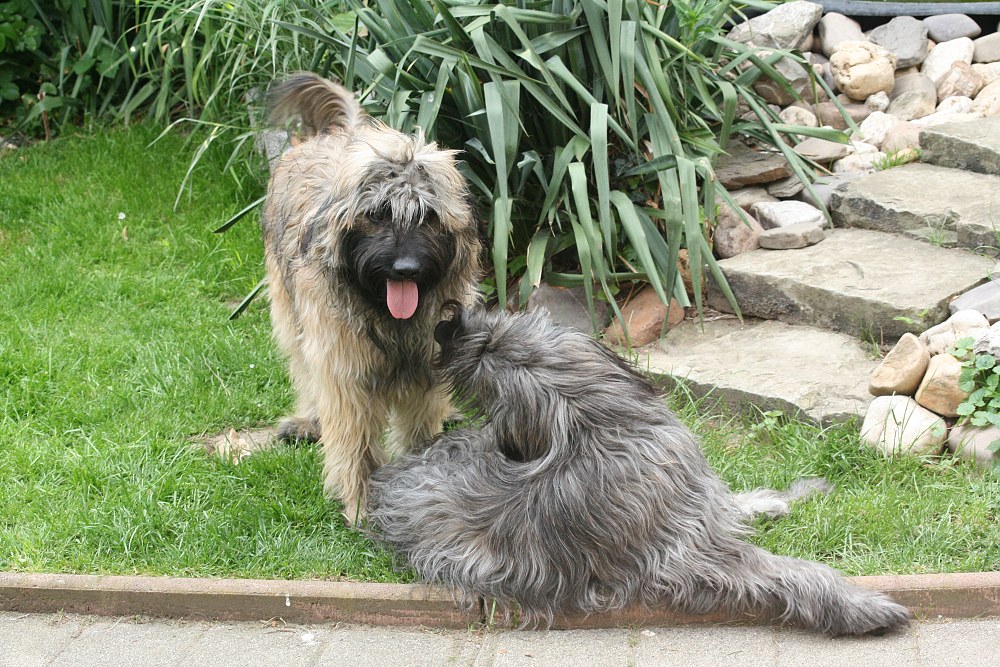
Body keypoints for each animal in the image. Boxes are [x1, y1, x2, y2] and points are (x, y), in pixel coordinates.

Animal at [262, 72, 480, 520]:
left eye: (429, 216)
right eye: (377, 214)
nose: (405, 270)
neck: (388, 315)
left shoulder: (425, 364)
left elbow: (420, 426)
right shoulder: (344, 369)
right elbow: (354, 437)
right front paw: (362, 502)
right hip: (291, 313)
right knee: (303, 367)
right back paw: (308, 421)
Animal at [370, 306, 916, 636]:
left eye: (490, 344)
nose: (446, 326)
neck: (599, 424)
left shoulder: (697, 507)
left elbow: (736, 501)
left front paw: (792, 496)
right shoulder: (694, 556)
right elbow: (795, 572)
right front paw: (862, 607)